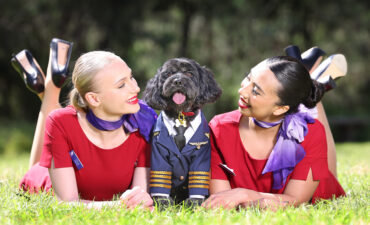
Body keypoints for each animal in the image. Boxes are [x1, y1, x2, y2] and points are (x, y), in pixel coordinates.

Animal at [143, 58, 221, 207]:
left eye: (189, 73)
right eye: (168, 74)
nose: (177, 81)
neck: (180, 115)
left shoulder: (201, 155)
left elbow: (198, 179)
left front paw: (195, 203)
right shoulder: (159, 153)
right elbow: (160, 178)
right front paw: (163, 203)